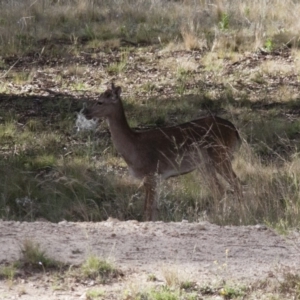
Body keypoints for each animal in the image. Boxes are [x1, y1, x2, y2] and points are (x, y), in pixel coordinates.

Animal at [82, 83, 241, 221]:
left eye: (100, 102)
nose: (85, 112)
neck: (133, 148)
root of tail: (234, 130)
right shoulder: (155, 178)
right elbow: (153, 210)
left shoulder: (151, 174)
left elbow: (147, 211)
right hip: (206, 164)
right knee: (219, 190)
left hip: (220, 155)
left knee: (235, 183)